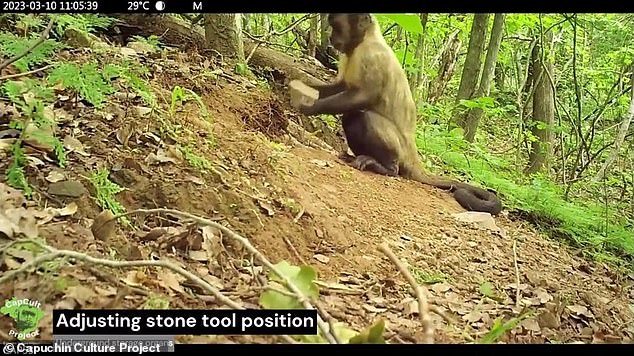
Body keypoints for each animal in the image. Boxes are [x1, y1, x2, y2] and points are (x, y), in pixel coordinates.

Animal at [294, 13, 502, 214]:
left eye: (336, 26)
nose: (330, 37)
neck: (366, 39)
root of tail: (412, 152)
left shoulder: (371, 56)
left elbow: (362, 97)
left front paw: (310, 107)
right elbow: (340, 87)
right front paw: (295, 82)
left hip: (399, 148)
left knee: (361, 116)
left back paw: (385, 167)